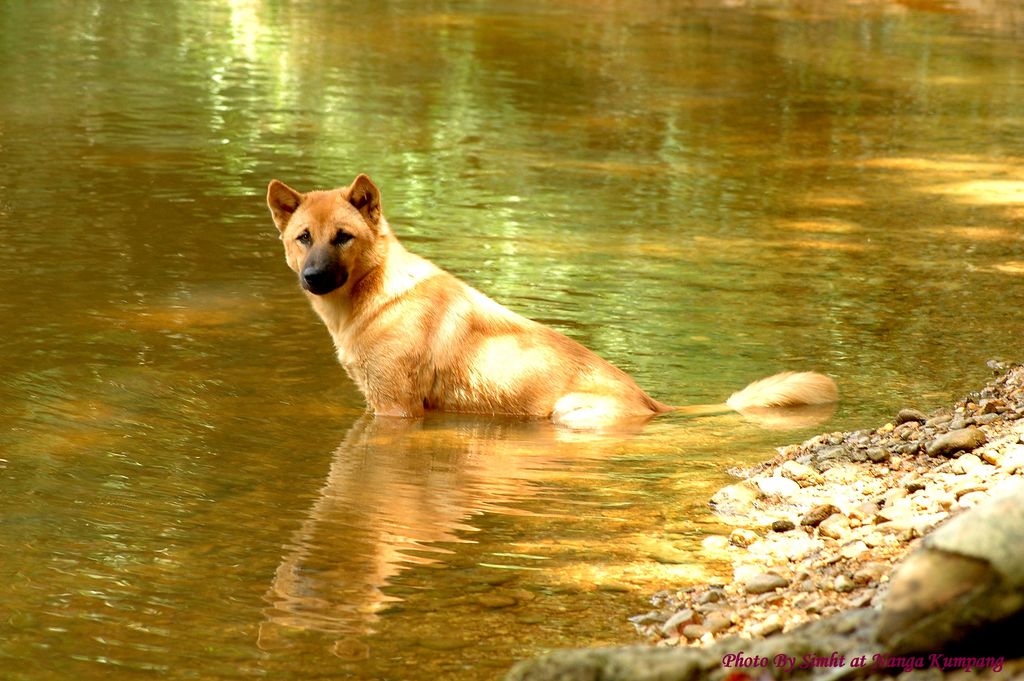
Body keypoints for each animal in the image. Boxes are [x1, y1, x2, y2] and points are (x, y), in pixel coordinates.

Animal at [268, 175, 835, 430]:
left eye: (342, 237)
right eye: (304, 237)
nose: (314, 278)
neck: (378, 294)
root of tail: (652, 402)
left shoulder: (396, 412)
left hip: (566, 413)